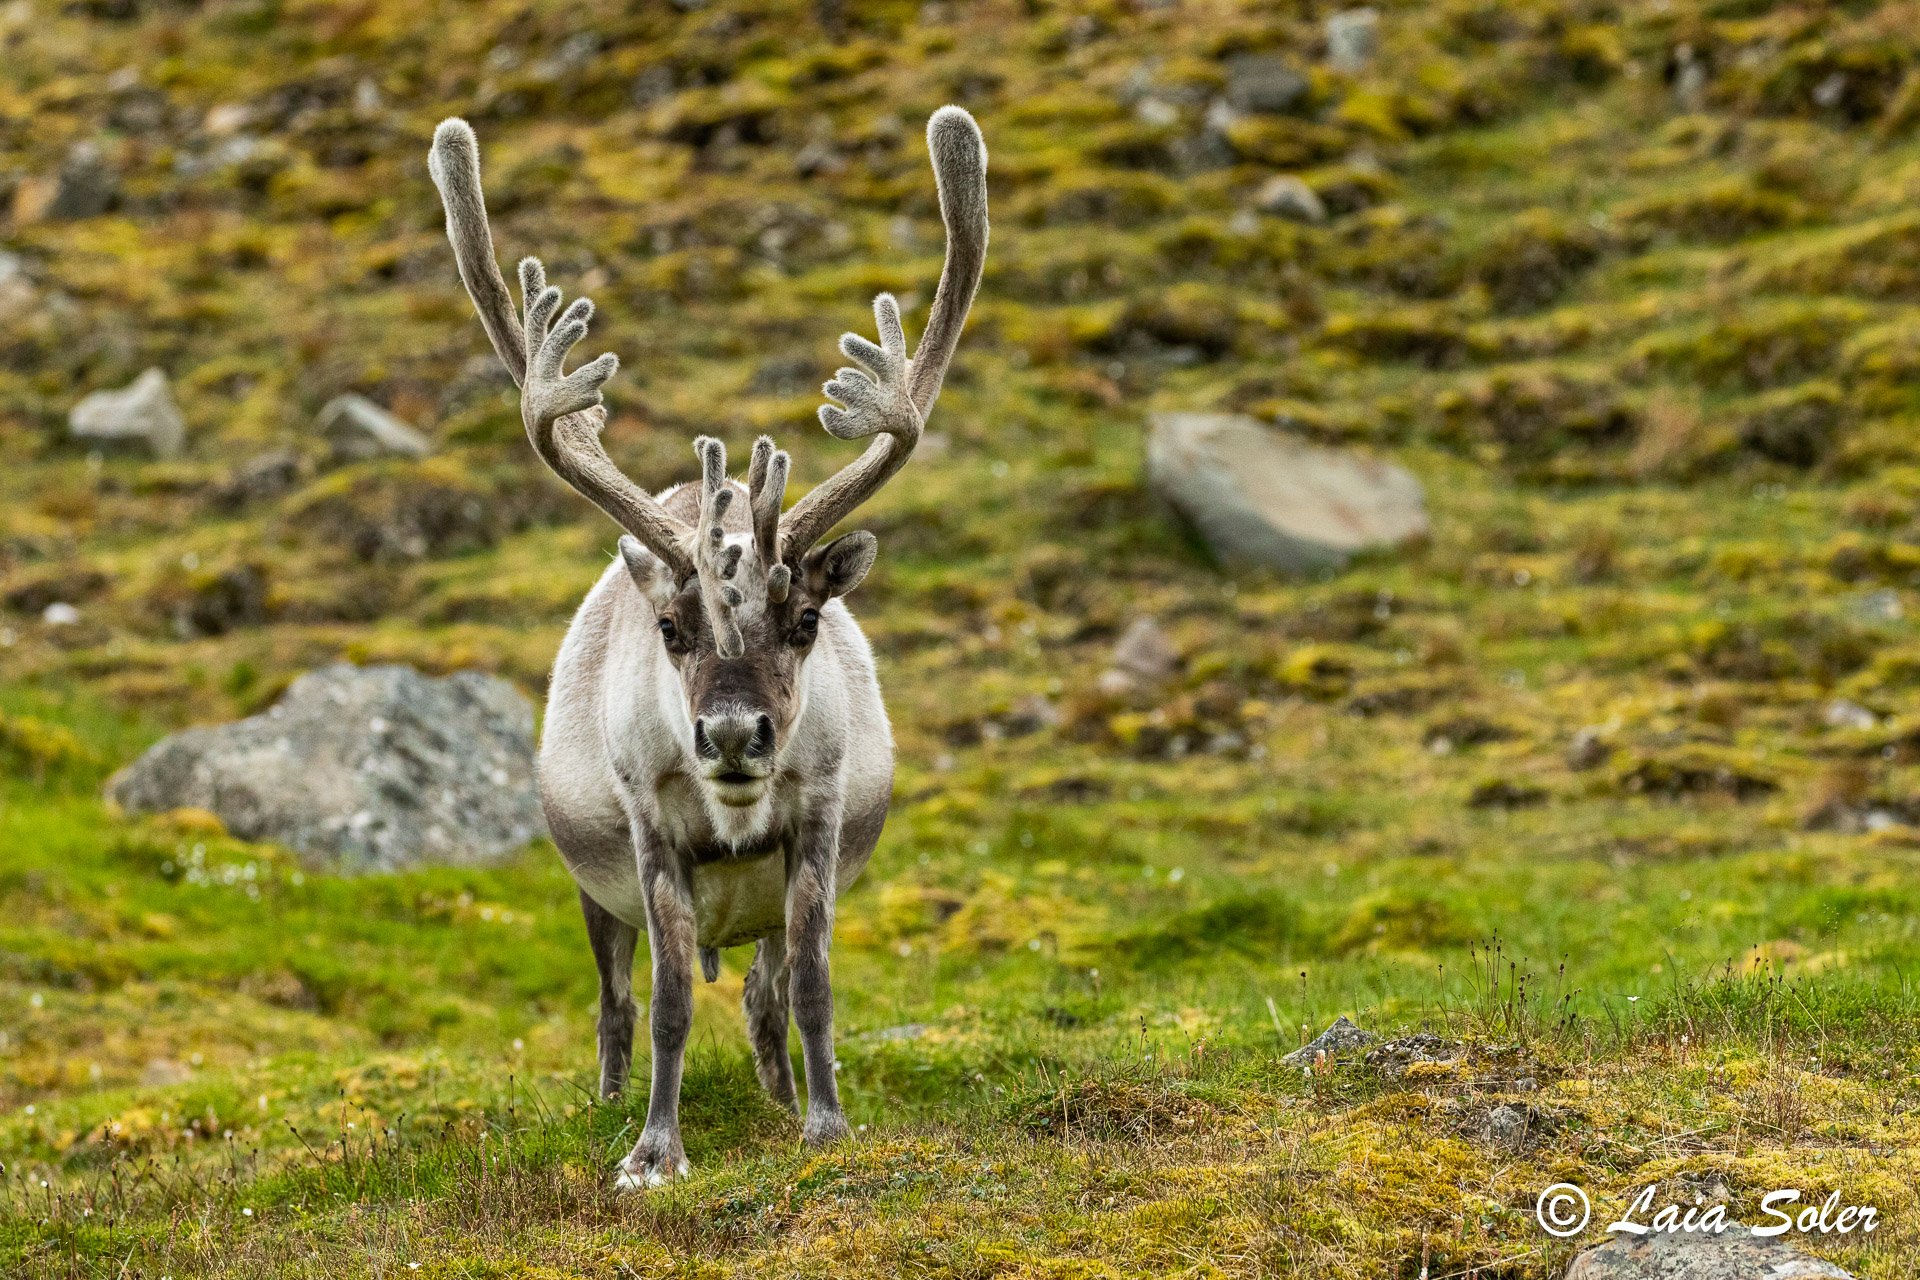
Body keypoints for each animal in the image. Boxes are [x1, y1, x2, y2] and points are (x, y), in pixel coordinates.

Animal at [427, 106, 987, 1188]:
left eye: (805, 619)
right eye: (671, 629)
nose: (732, 734)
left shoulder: (818, 817)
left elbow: (811, 987)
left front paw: (825, 1122)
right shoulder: (648, 831)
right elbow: (671, 1000)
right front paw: (652, 1149)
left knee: (765, 996)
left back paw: (776, 1095)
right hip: (587, 883)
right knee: (614, 1002)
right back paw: (611, 1101)